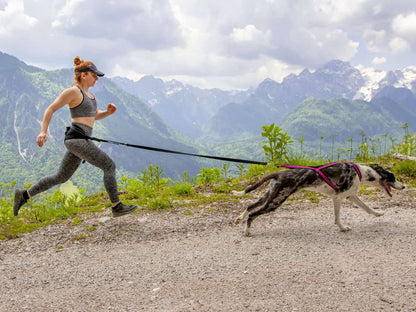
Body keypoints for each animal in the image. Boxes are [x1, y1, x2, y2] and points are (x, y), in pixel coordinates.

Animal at [236, 163, 404, 236]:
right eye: (393, 178)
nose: (403, 186)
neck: (361, 172)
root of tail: (278, 174)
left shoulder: (351, 196)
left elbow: (367, 208)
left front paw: (378, 213)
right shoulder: (338, 197)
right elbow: (337, 218)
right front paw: (342, 228)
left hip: (270, 196)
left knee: (250, 206)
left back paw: (240, 218)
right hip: (276, 201)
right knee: (253, 214)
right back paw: (247, 231)